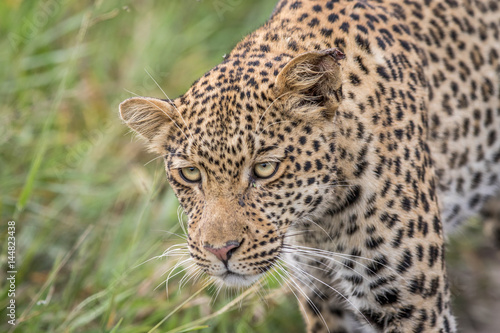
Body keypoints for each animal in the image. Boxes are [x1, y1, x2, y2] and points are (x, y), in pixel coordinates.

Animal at [118, 1, 500, 330]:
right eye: (191, 173)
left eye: (265, 169)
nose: (220, 251)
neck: (320, 220)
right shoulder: (322, 295)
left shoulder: (413, 308)